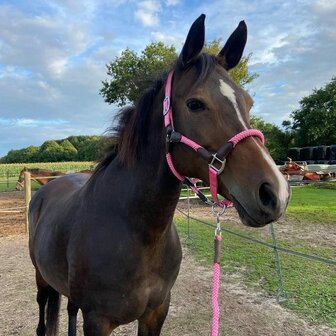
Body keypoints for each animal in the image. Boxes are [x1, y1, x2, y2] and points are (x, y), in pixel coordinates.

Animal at [28, 15, 290, 336]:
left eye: (248, 102)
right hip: (41, 279)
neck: (138, 233)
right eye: (195, 104)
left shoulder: (157, 312)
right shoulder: (97, 320)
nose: (275, 192)